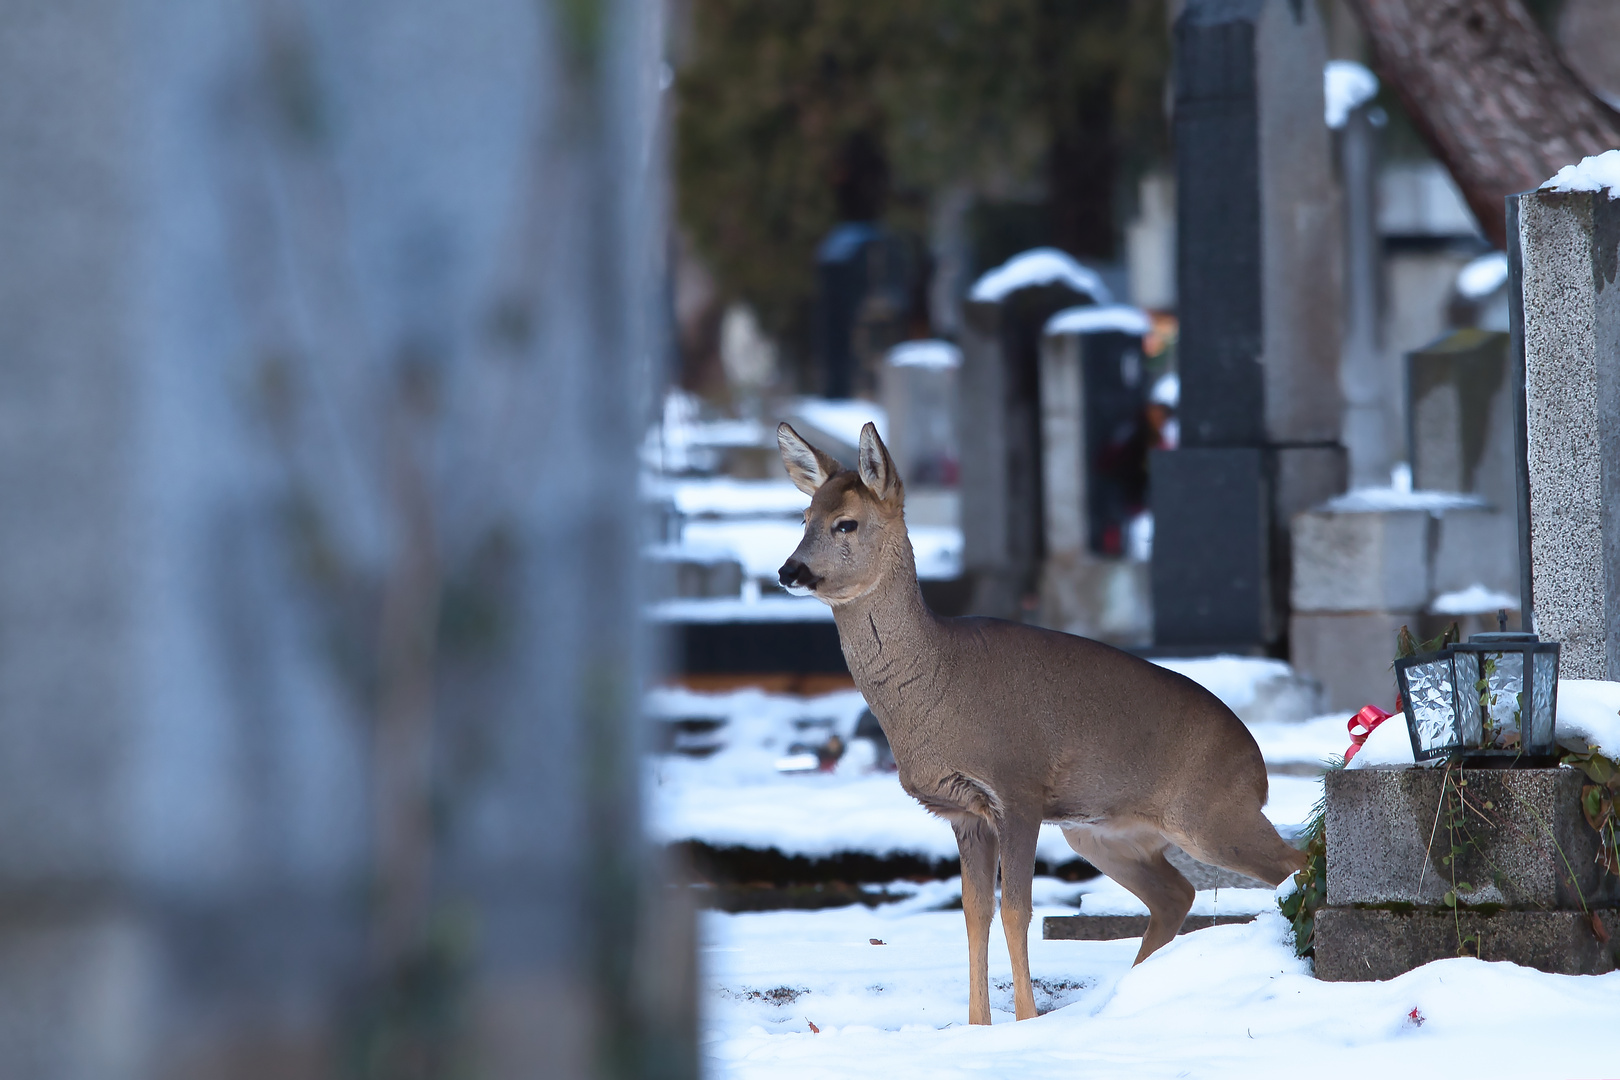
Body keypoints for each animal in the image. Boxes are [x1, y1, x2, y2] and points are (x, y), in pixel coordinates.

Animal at [771, 420, 1302, 1023]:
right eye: (804, 518)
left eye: (847, 522)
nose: (790, 570)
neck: (939, 682)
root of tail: (1257, 767)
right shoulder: (964, 812)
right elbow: (975, 913)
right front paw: (978, 1026)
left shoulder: (1017, 788)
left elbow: (1015, 911)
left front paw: (1024, 1021)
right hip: (1100, 832)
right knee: (1176, 895)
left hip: (1211, 813)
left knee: (1294, 860)